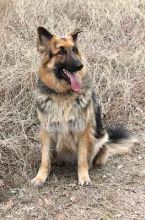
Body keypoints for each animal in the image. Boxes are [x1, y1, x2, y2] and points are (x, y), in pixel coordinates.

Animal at [30, 27, 136, 186]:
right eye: (61, 52)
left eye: (75, 50)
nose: (80, 66)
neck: (63, 94)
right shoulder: (46, 131)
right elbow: (44, 158)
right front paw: (40, 177)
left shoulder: (82, 131)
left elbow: (82, 159)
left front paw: (84, 177)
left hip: (99, 140)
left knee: (90, 159)